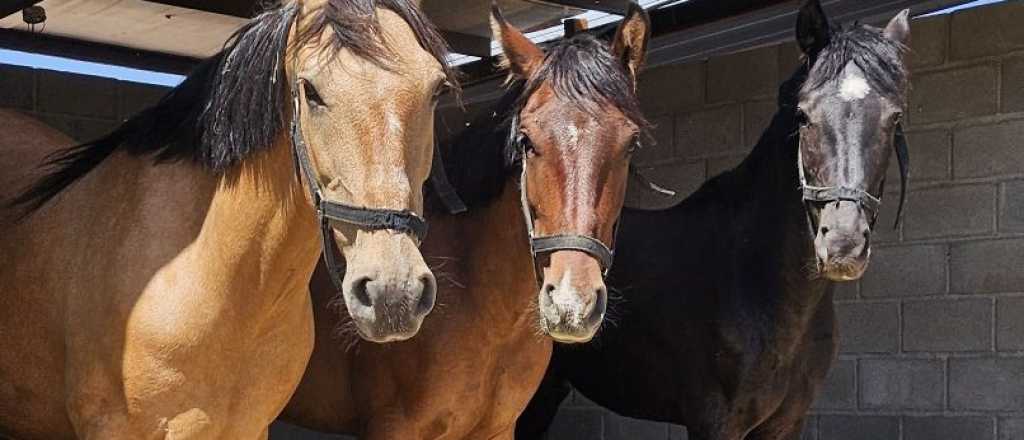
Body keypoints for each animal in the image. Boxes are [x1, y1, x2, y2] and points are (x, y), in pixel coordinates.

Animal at [516, 1, 912, 439]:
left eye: (894, 119)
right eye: (804, 116)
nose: (842, 244)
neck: (758, 280)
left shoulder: (788, 423)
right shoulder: (714, 423)